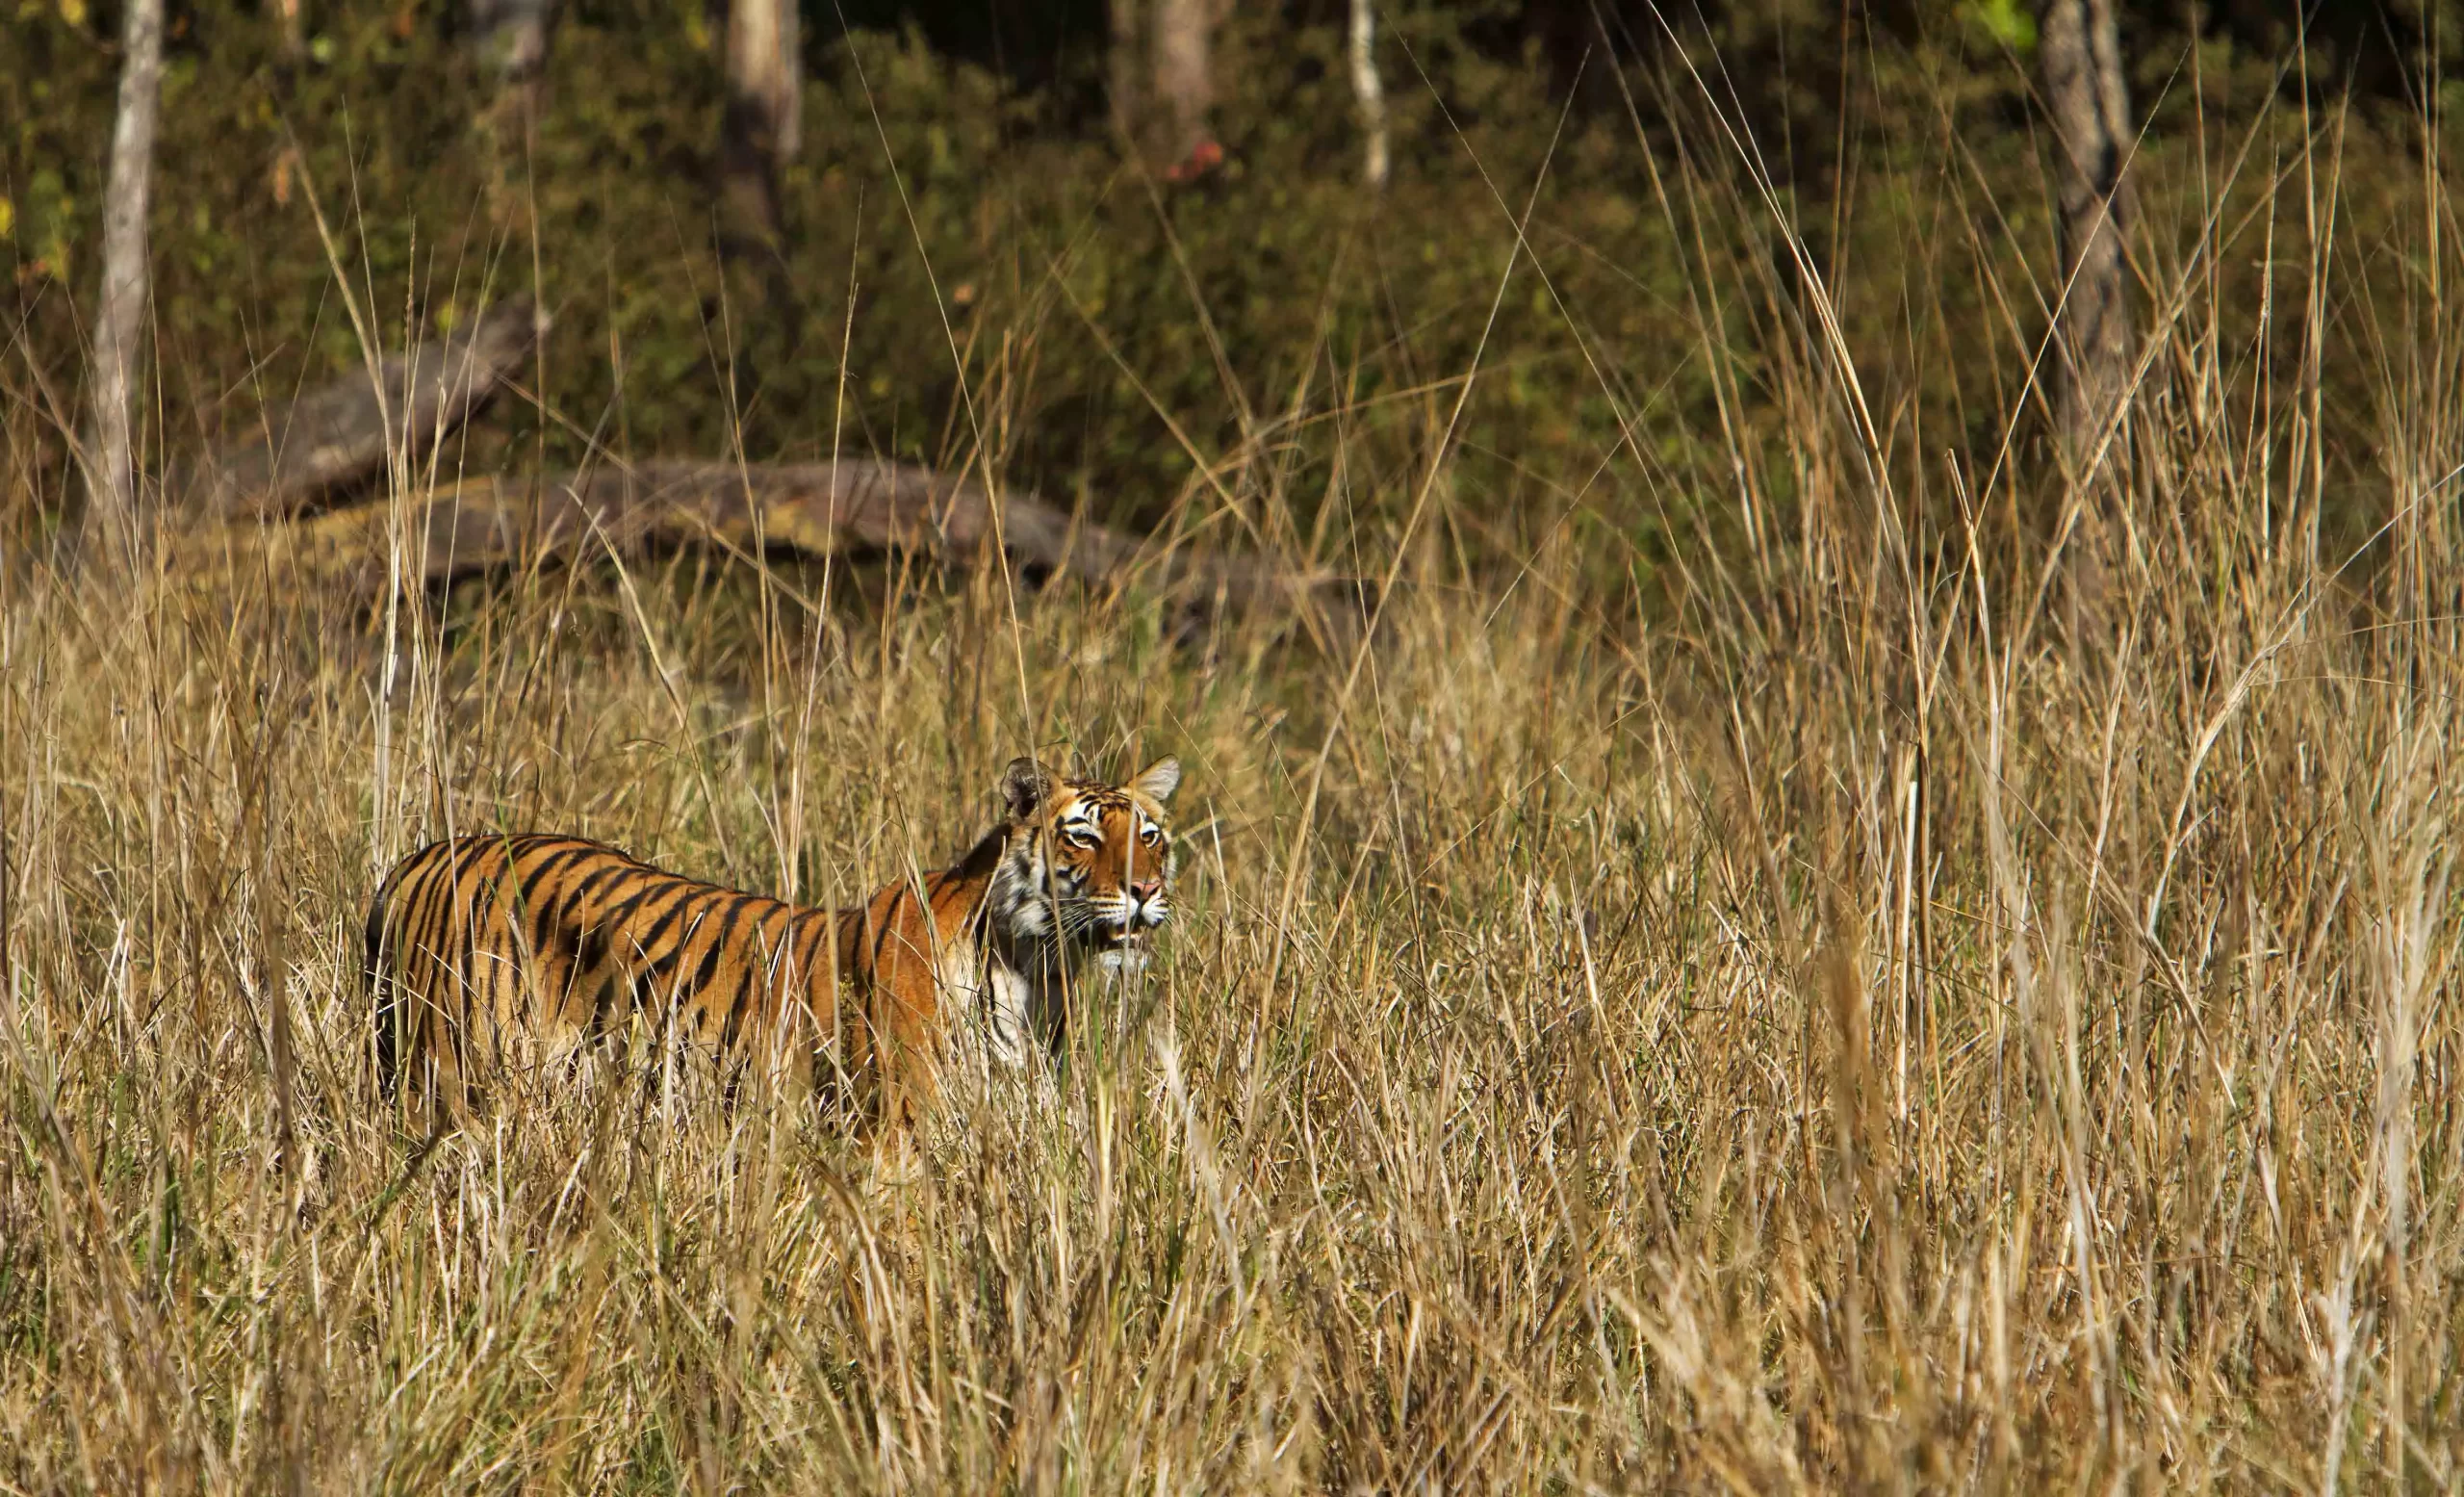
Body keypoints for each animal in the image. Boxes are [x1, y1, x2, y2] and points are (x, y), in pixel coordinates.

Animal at [359, 754, 1177, 1129]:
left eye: (1149, 835)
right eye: (1082, 836)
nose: (1144, 888)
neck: (1037, 971)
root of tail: (420, 858)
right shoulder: (895, 1138)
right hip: (449, 1078)